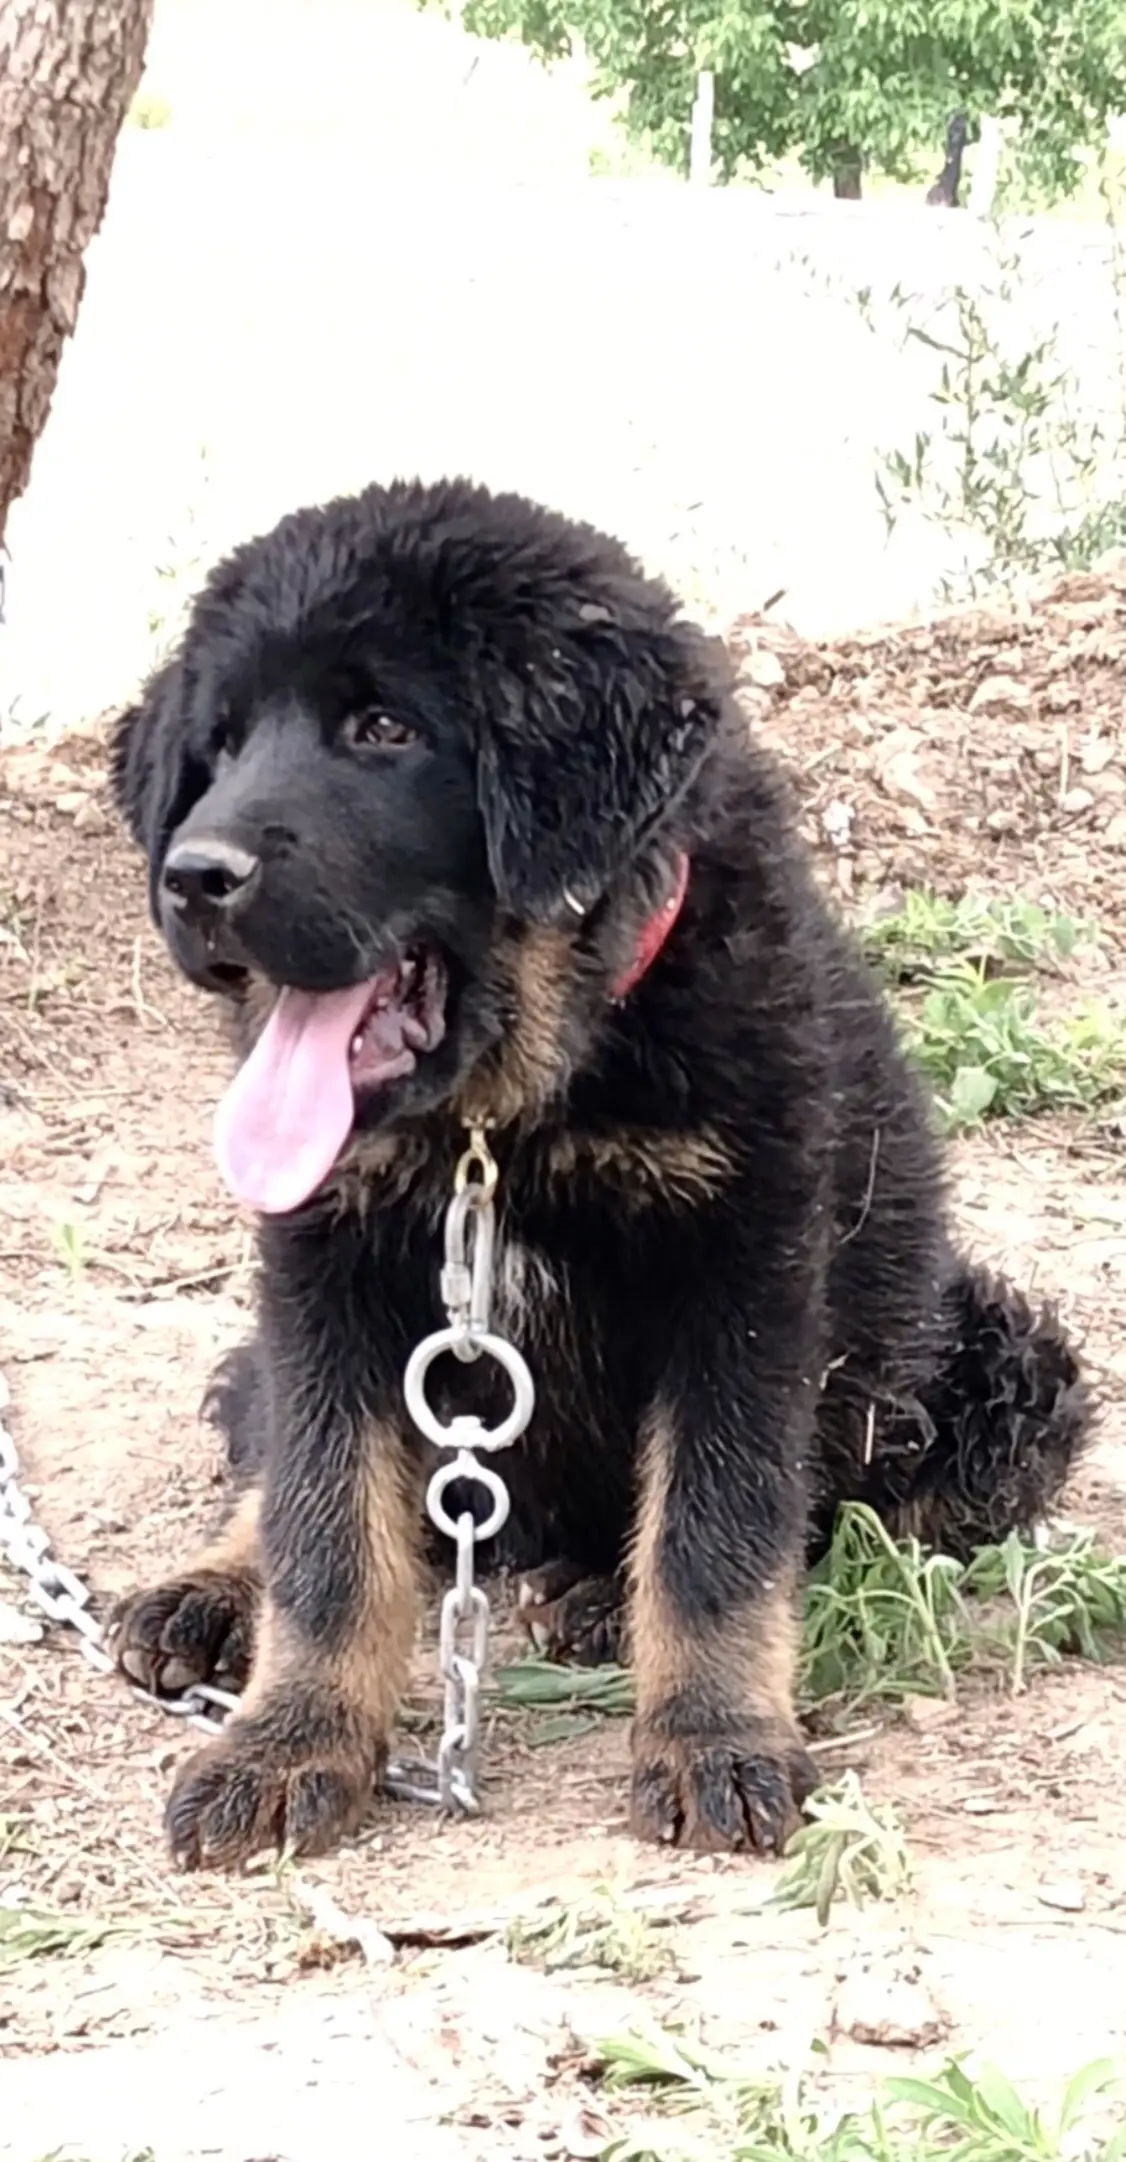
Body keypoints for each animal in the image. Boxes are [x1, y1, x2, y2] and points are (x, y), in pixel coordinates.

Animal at [107, 476, 1089, 1870]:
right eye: (221, 746)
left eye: (382, 726)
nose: (193, 876)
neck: (498, 1120)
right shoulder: (322, 1271)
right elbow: (327, 1525)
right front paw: (286, 1743)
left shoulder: (743, 1267)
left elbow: (716, 1526)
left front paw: (714, 1737)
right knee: (296, 1479)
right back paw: (208, 1593)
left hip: (991, 1374)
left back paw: (592, 1596)